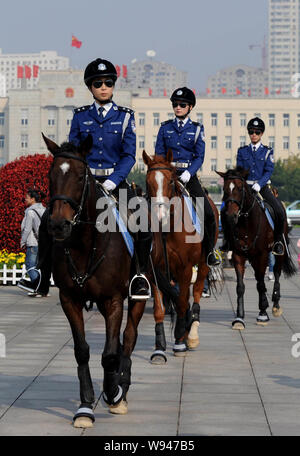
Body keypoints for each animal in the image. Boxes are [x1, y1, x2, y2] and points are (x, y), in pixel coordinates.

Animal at [42, 134, 146, 428]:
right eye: (51, 175)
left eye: (80, 176)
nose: (58, 225)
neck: (85, 243)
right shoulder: (70, 299)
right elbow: (82, 350)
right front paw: (86, 405)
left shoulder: (113, 300)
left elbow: (110, 354)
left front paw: (114, 392)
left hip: (139, 294)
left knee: (129, 336)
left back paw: (122, 388)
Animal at [142, 151, 219, 362]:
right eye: (148, 182)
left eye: (170, 181)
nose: (159, 215)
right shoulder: (156, 270)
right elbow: (161, 308)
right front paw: (159, 347)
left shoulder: (185, 269)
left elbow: (184, 301)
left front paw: (179, 342)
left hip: (203, 264)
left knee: (197, 291)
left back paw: (191, 334)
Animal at [216, 166, 298, 330]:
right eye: (224, 189)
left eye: (240, 188)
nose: (230, 216)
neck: (246, 222)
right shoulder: (238, 255)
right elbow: (240, 287)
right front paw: (239, 318)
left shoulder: (262, 255)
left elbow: (260, 284)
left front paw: (262, 314)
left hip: (278, 252)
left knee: (277, 273)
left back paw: (275, 305)